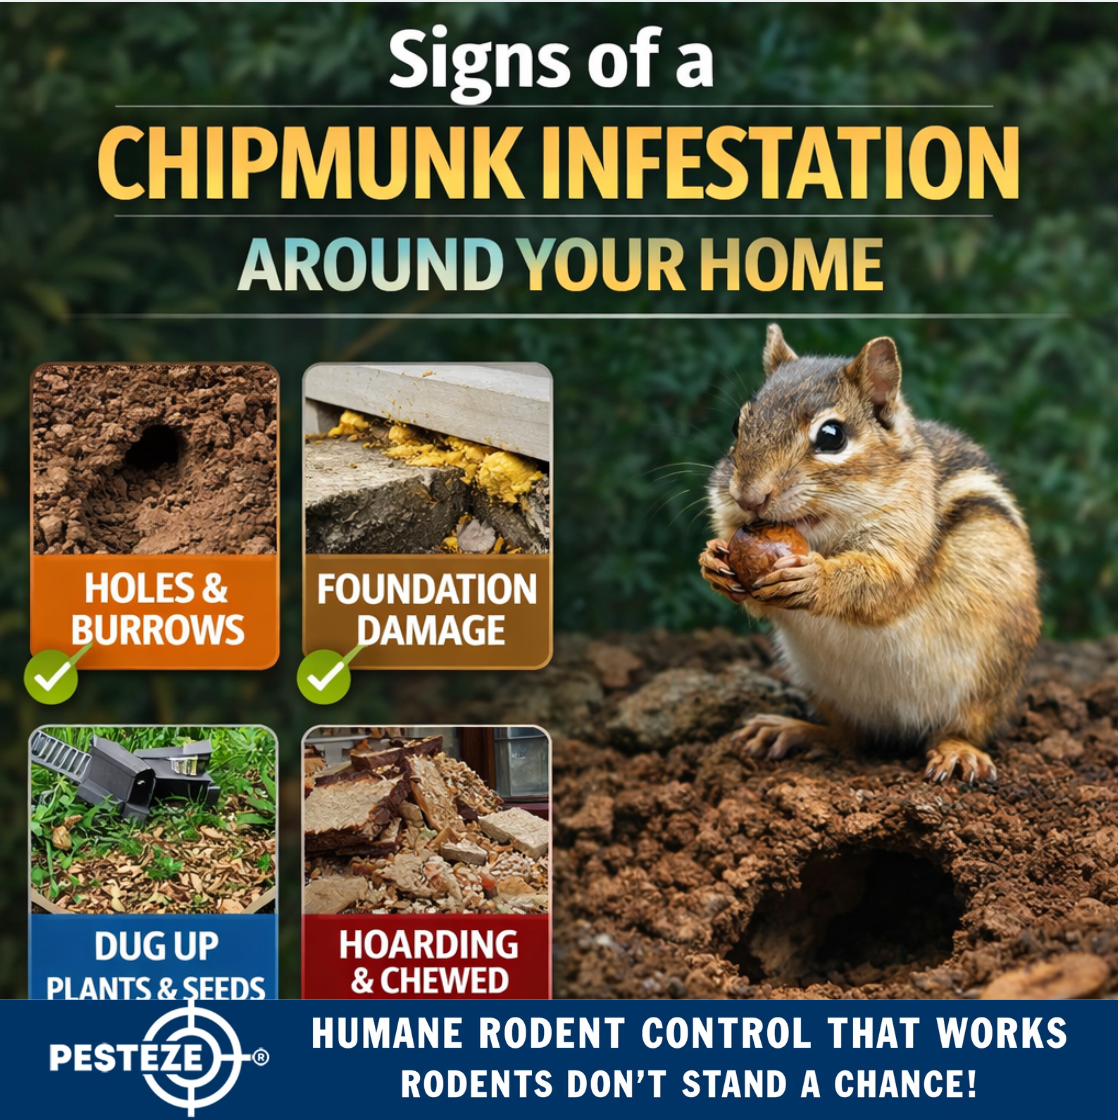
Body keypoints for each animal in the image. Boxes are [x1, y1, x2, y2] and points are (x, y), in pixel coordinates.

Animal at [699, 324, 1040, 783]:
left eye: (832, 436)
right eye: (738, 425)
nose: (750, 498)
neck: (821, 536)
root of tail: (896, 732)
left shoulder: (905, 541)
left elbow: (882, 582)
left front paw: (814, 580)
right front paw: (712, 561)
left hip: (988, 683)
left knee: (961, 728)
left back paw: (958, 751)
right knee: (849, 737)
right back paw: (794, 731)